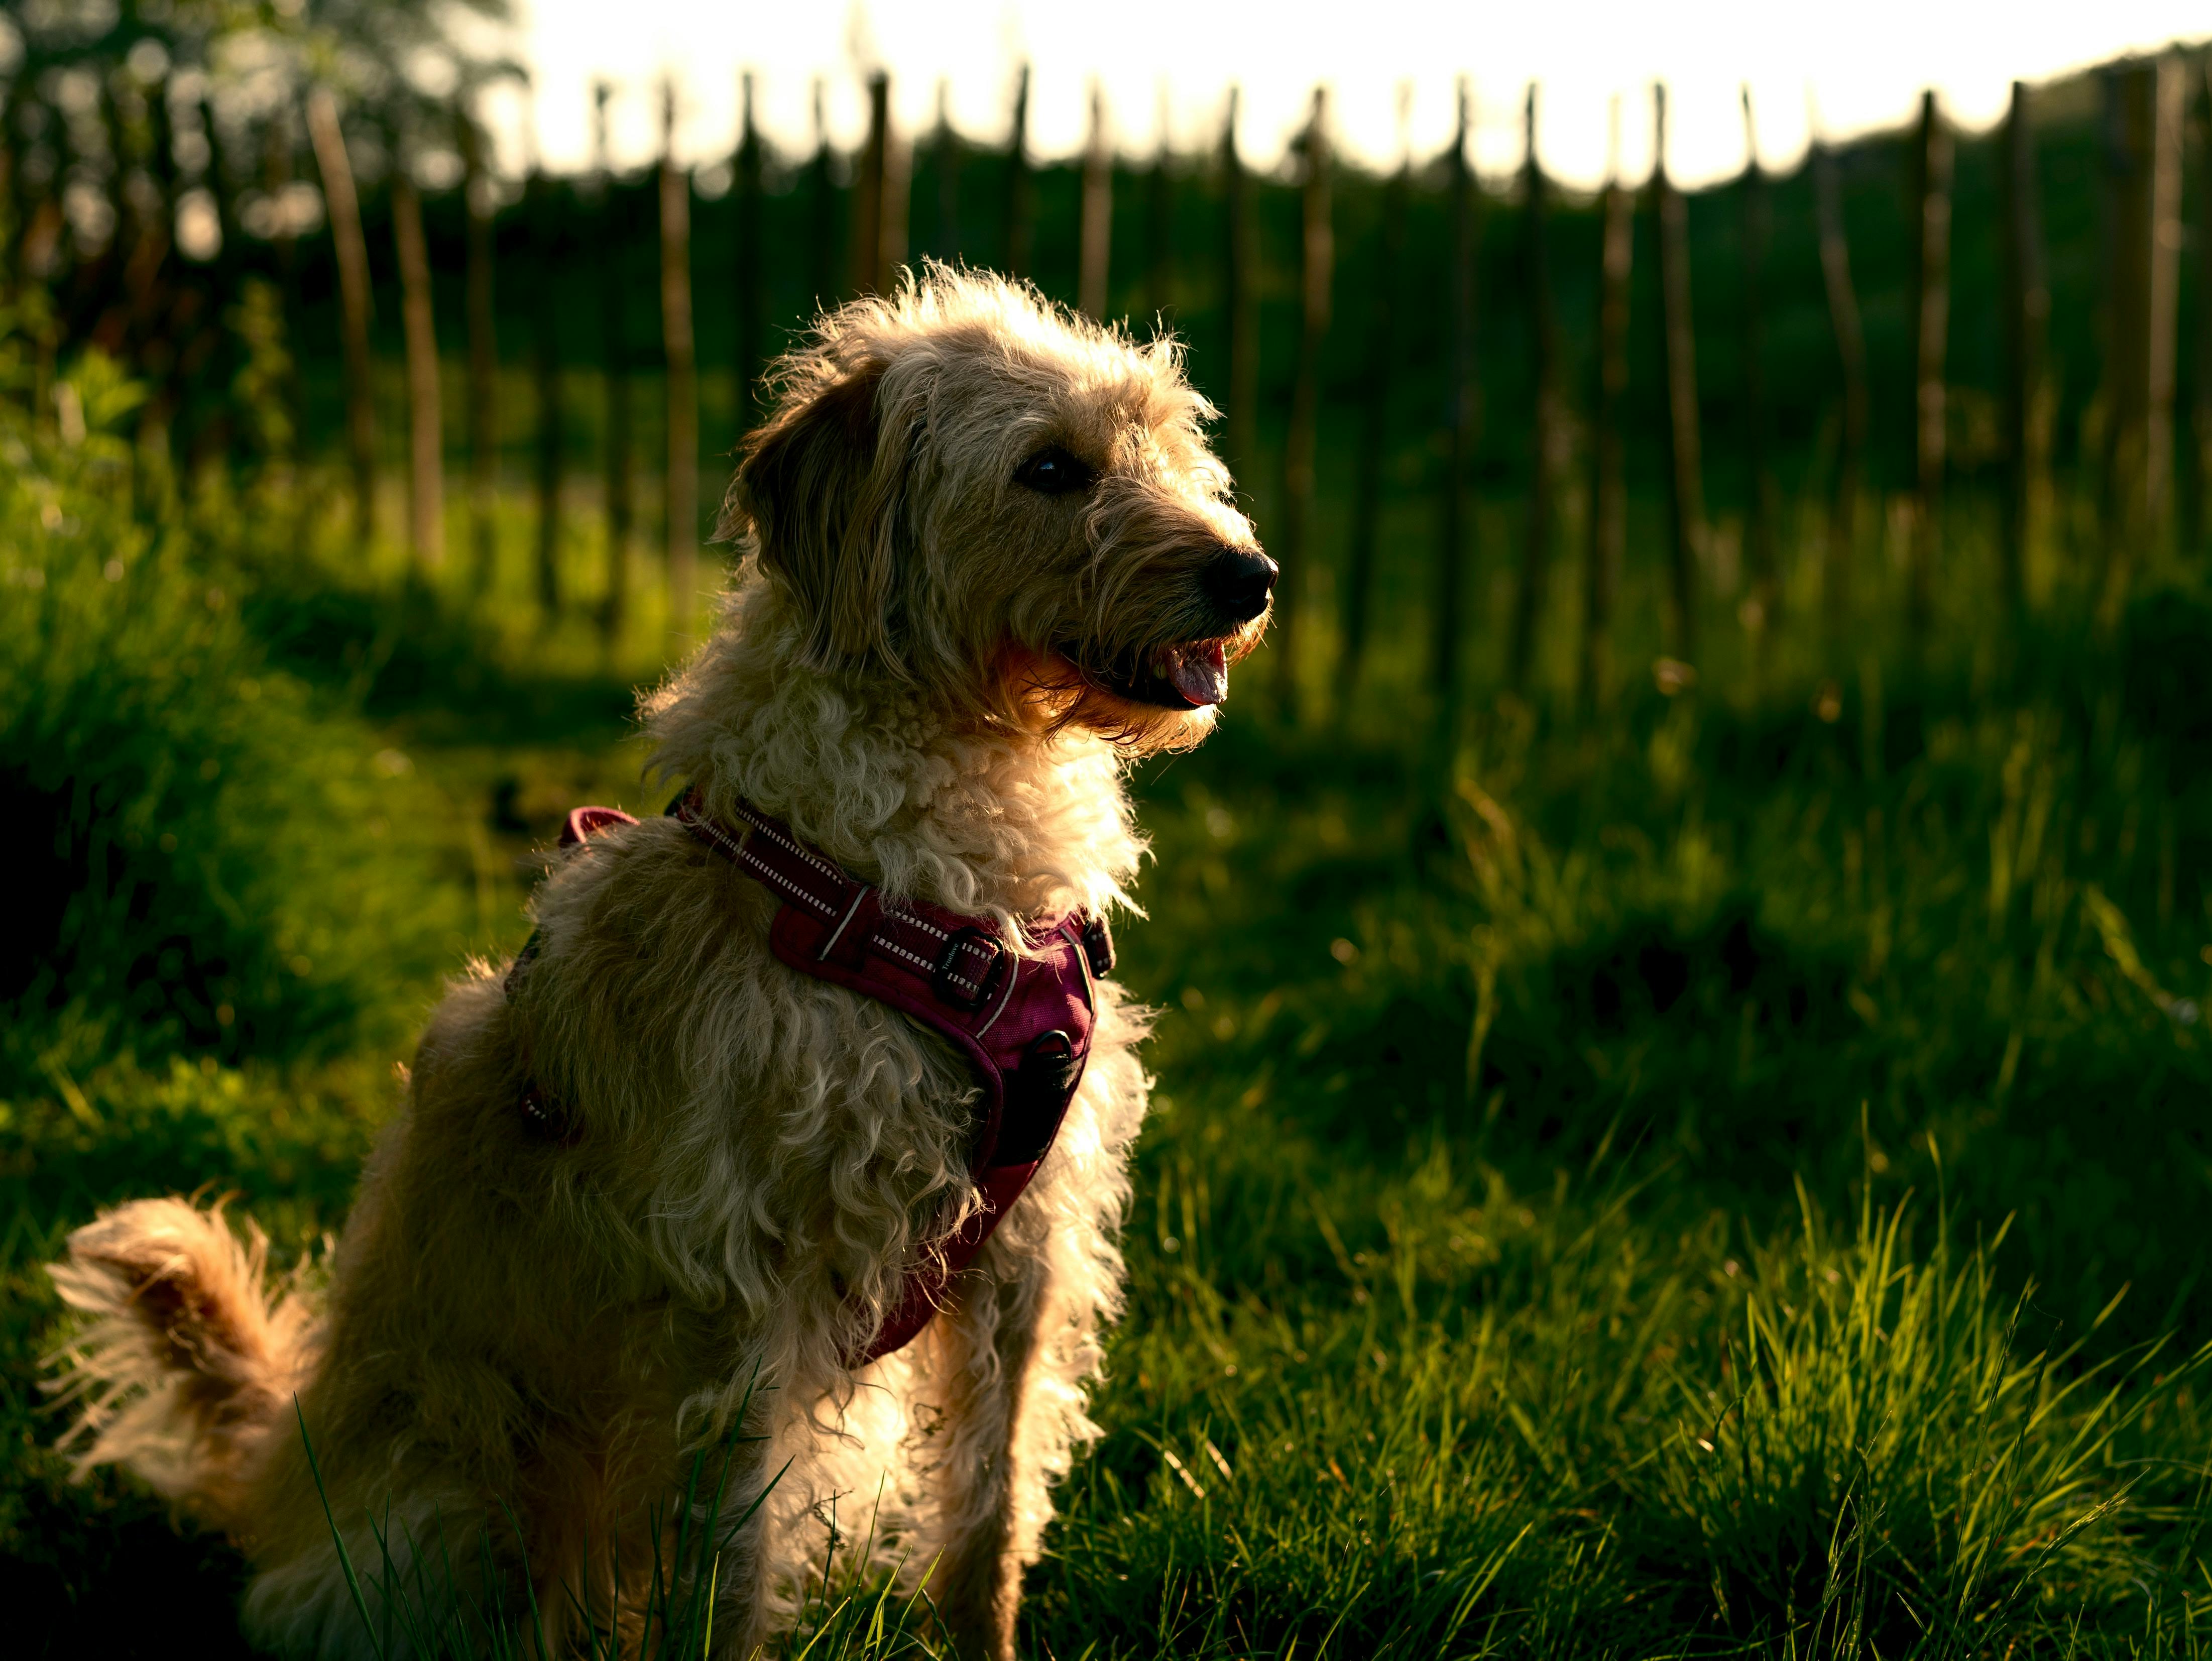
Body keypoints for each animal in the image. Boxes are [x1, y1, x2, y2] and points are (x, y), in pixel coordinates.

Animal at [43, 273, 1283, 1661]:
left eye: (1165, 440)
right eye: (1050, 467)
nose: (1252, 576)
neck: (927, 892)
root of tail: (278, 1477)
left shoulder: (1020, 1258)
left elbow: (988, 1514)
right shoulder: (733, 1294)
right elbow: (729, 1570)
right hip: (454, 1522)